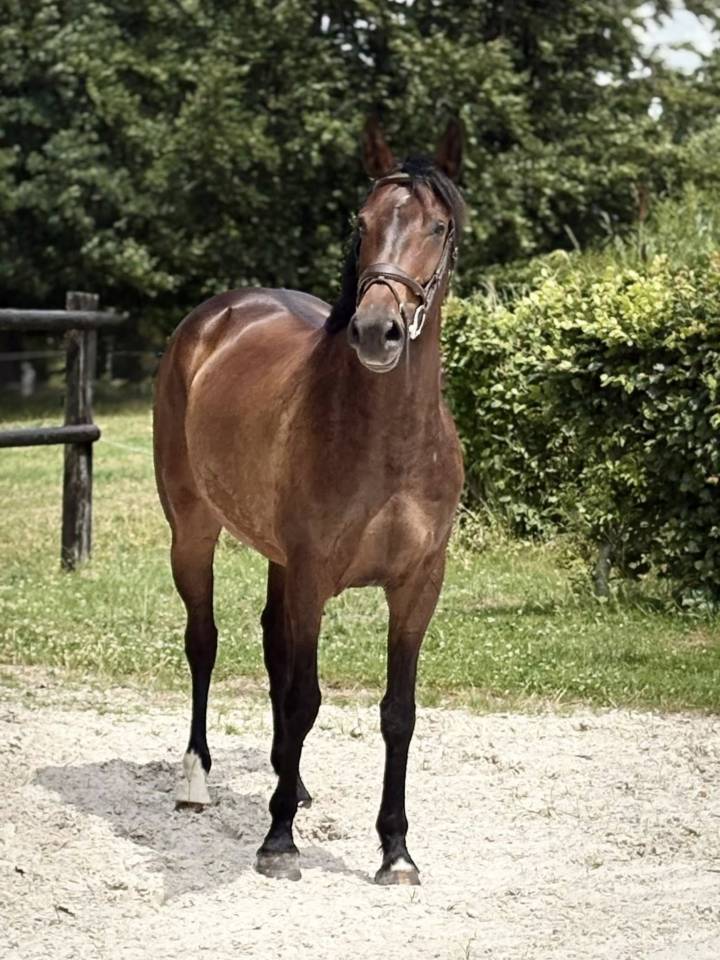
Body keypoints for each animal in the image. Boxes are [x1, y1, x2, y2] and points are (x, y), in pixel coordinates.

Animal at [153, 118, 466, 885]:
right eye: (362, 221)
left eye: (438, 226)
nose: (378, 331)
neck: (389, 441)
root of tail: (217, 316)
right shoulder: (315, 575)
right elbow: (304, 696)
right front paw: (277, 842)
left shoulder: (418, 585)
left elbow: (397, 710)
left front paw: (395, 850)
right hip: (192, 532)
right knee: (204, 641)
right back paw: (196, 780)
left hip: (278, 560)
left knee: (271, 643)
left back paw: (288, 783)